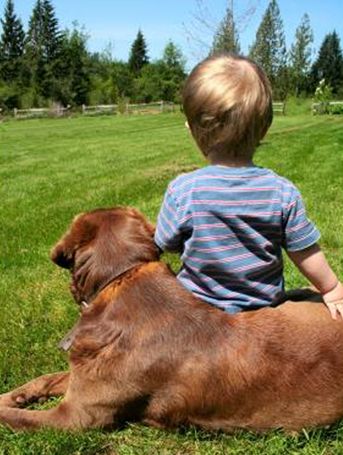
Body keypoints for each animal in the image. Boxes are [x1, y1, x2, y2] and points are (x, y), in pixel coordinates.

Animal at [0, 208, 343, 432]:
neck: (121, 278)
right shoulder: (83, 377)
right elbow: (45, 378)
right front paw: (14, 395)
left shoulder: (76, 416)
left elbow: (17, 417)